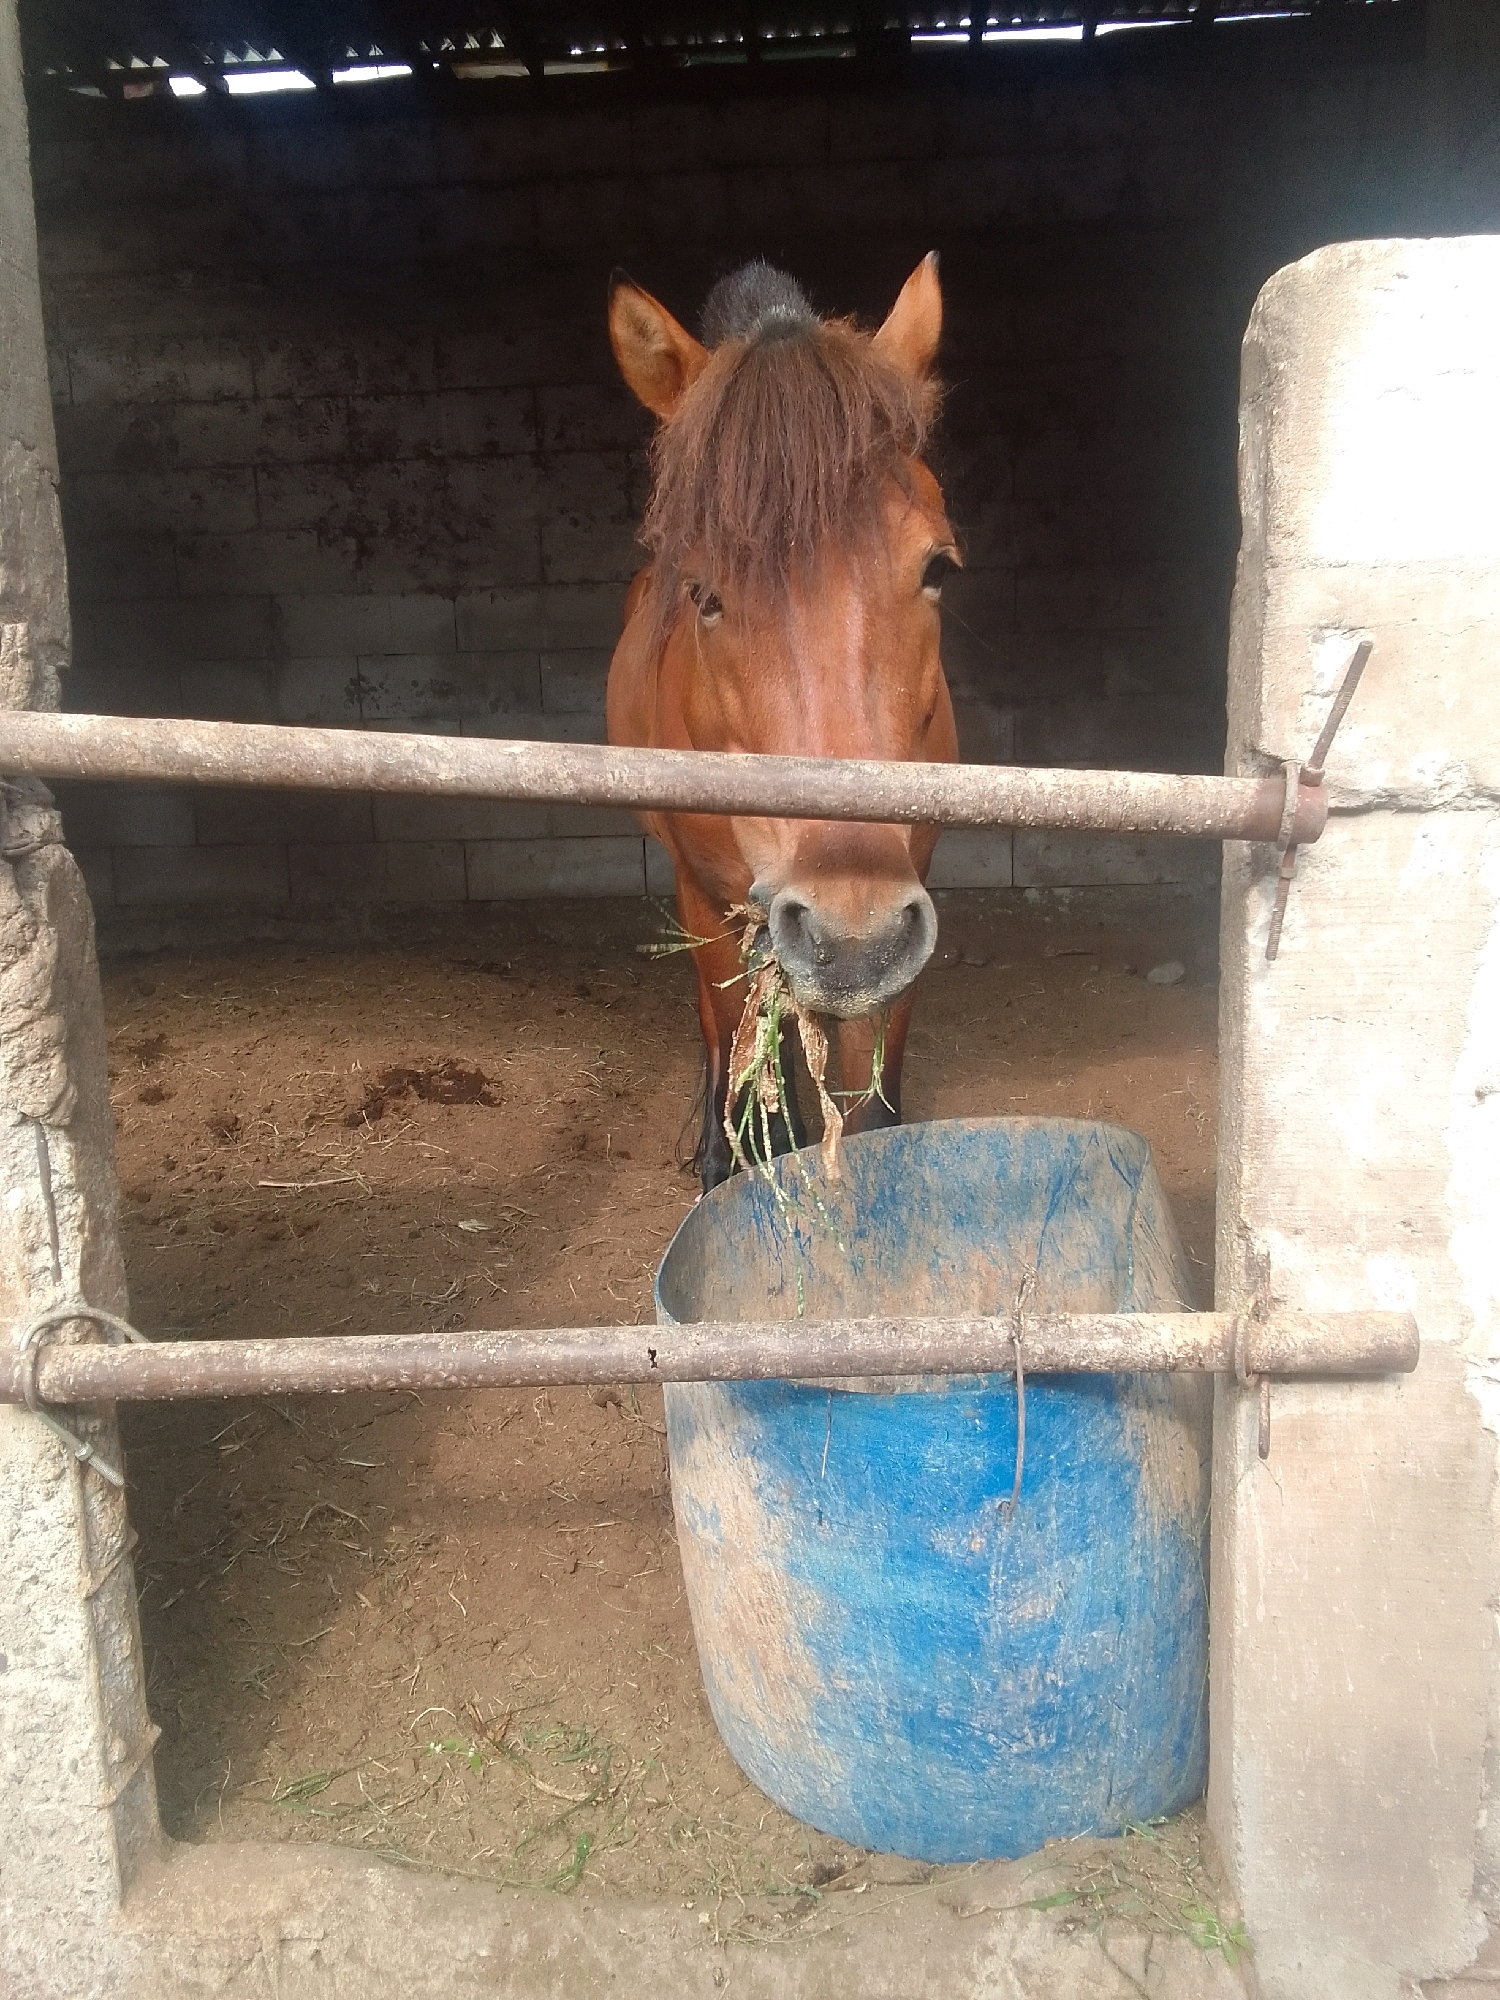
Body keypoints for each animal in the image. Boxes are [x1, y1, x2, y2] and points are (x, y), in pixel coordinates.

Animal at [606, 255, 960, 1190]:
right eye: (703, 593)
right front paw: (737, 1158)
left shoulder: (910, 898)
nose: (854, 932)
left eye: (937, 569)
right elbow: (735, 1035)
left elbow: (874, 1085)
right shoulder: (710, 900)